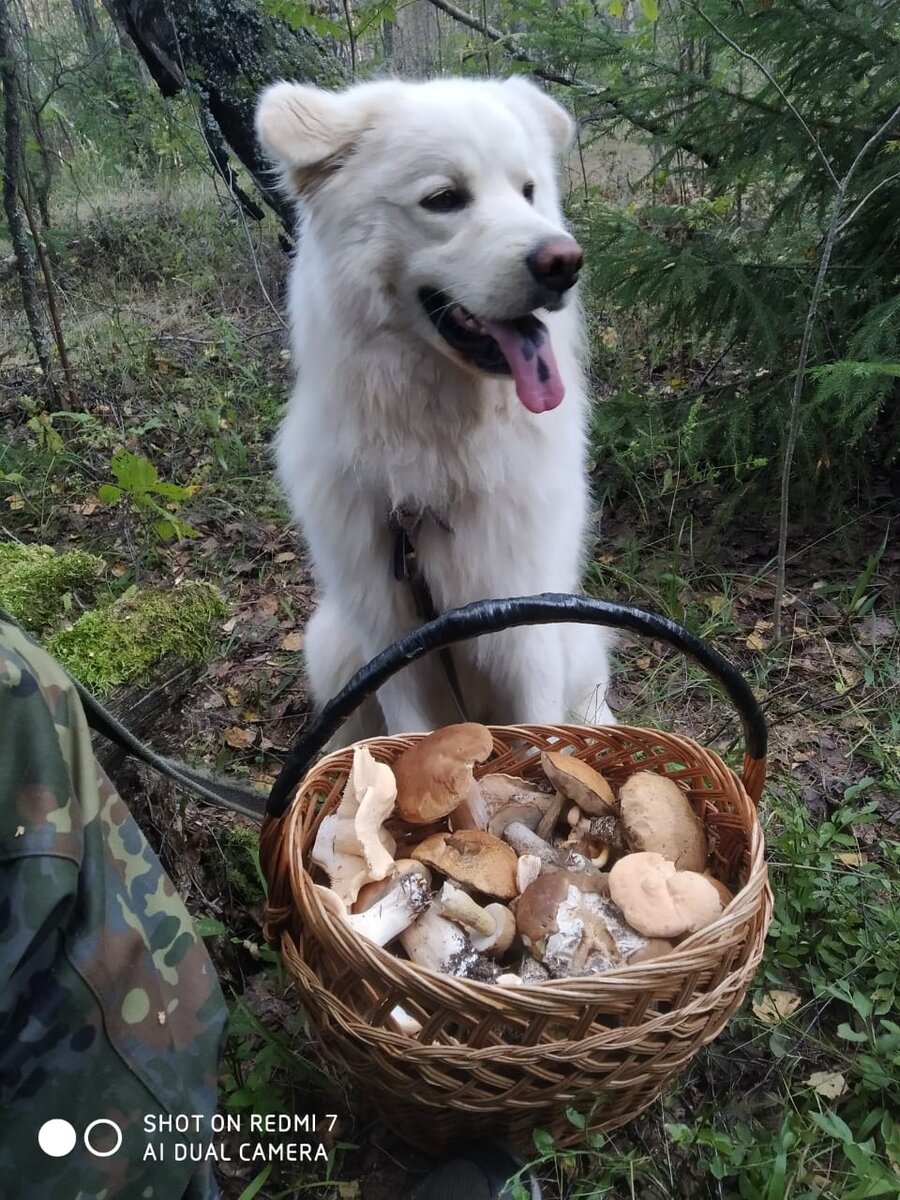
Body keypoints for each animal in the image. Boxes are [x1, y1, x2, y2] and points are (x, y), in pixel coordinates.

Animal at [256, 75, 619, 734]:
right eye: (444, 199)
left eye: (529, 192)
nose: (564, 262)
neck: (444, 444)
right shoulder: (391, 645)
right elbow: (405, 737)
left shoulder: (527, 627)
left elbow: (543, 727)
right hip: (333, 645)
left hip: (575, 632)